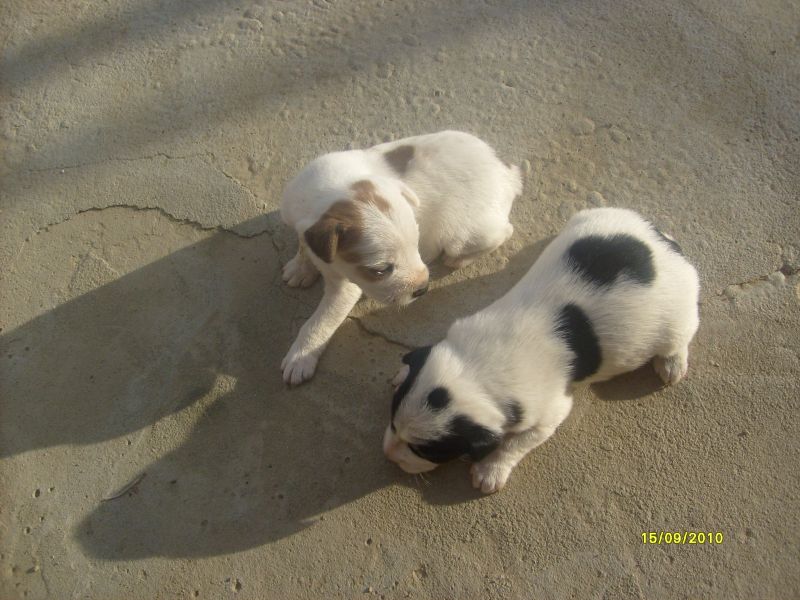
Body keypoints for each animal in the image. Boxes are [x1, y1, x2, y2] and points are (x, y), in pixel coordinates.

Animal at [278, 131, 520, 384]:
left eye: (416, 244)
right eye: (381, 270)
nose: (423, 289)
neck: (330, 192)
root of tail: (506, 171)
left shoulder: (346, 288)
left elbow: (321, 321)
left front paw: (301, 356)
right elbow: (303, 245)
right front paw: (300, 267)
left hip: (463, 236)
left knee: (504, 231)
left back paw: (459, 259)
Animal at [382, 209, 700, 494]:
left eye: (424, 451)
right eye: (393, 423)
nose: (389, 456)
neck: (478, 369)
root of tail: (667, 245)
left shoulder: (548, 415)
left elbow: (514, 443)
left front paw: (490, 470)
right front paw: (402, 373)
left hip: (678, 315)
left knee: (682, 335)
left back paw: (672, 364)